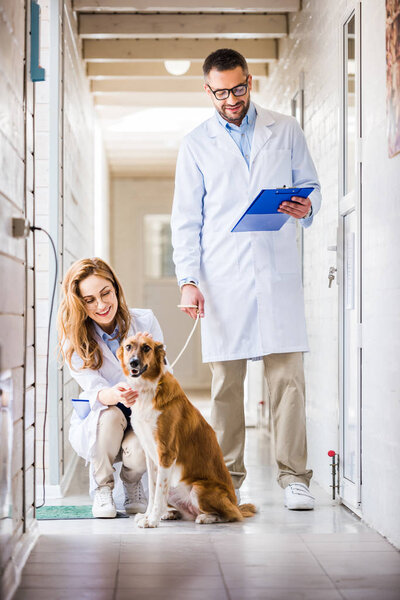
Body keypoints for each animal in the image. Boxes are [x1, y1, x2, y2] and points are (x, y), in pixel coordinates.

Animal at [117, 332, 258, 528]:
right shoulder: (150, 455)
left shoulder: (166, 453)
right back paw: (170, 514)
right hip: (175, 488)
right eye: (129, 347)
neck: (148, 388)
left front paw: (151, 520)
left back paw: (206, 517)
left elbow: (158, 493)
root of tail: (234, 503)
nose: (133, 363)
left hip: (198, 488)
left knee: (231, 515)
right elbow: (153, 491)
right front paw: (147, 515)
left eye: (146, 348)